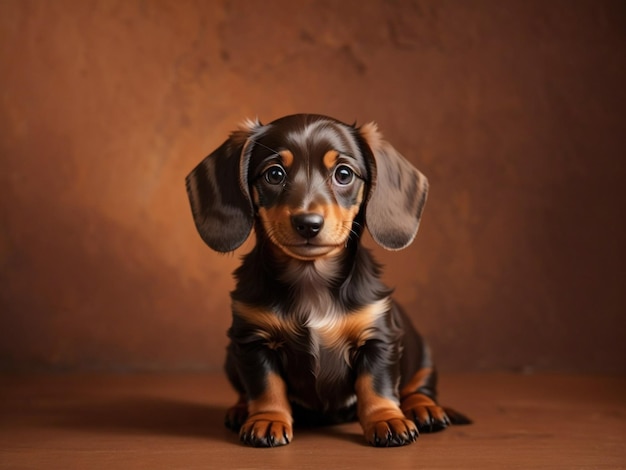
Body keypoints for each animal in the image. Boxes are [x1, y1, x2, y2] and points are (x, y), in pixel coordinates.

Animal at [185, 114, 468, 448]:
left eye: (343, 174)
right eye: (274, 174)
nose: (308, 224)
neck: (311, 278)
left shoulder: (379, 339)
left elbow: (377, 386)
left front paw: (387, 420)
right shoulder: (253, 341)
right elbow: (266, 386)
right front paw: (268, 419)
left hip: (422, 357)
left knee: (417, 388)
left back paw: (424, 409)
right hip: (231, 357)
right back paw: (241, 410)